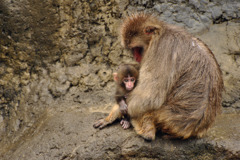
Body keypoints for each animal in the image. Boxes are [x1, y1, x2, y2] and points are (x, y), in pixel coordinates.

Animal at [120, 13, 223, 141]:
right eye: (133, 50)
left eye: (137, 49)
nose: (136, 57)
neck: (160, 33)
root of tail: (191, 130)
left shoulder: (161, 49)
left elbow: (151, 97)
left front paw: (125, 107)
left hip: (164, 117)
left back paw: (145, 131)